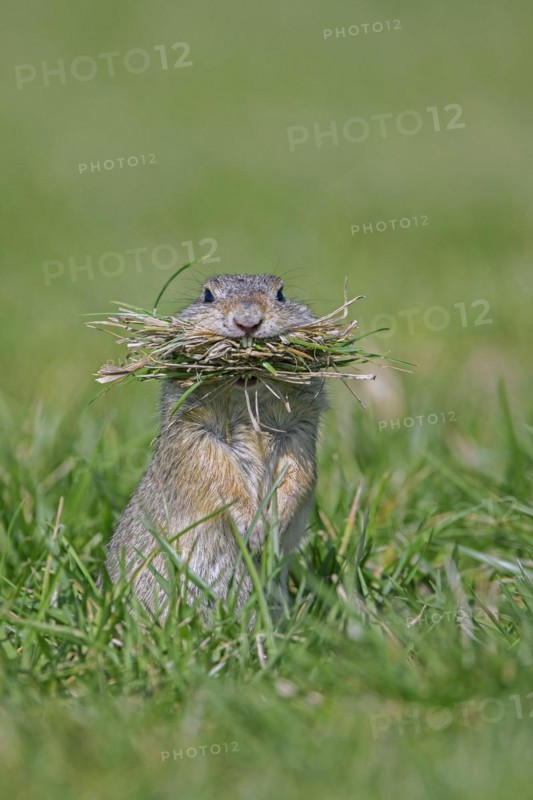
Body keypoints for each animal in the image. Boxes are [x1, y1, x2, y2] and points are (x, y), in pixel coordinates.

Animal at [104, 273, 327, 616]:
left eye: (281, 294)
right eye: (207, 295)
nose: (248, 321)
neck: (248, 400)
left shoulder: (299, 430)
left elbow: (300, 473)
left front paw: (274, 526)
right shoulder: (194, 431)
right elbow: (215, 474)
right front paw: (253, 528)